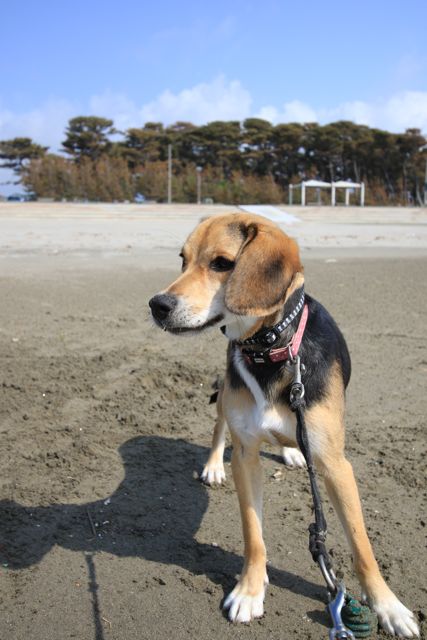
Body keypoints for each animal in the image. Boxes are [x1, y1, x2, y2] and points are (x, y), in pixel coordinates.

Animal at [149, 214, 420, 636]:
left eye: (222, 263)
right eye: (183, 260)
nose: (157, 305)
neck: (272, 349)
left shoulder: (336, 465)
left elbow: (362, 546)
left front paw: (388, 606)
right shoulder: (245, 456)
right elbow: (253, 535)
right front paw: (249, 590)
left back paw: (292, 452)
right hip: (226, 399)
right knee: (218, 429)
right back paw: (213, 465)